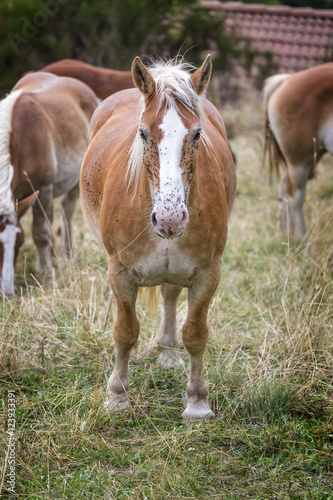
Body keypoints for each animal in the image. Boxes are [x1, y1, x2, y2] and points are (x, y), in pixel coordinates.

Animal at [0, 72, 98, 294]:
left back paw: (67, 257)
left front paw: (44, 271)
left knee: (66, 213)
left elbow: (41, 233)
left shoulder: (43, 189)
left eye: (20, 242)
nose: (6, 292)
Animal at [80, 54, 236, 420]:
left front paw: (197, 401)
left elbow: (196, 334)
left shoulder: (208, 274)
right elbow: (125, 332)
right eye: (143, 133)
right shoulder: (120, 273)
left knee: (169, 294)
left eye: (197, 134)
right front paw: (117, 397)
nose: (170, 219)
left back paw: (166, 351)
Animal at [262, 63, 332, 243]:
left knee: (284, 188)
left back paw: (286, 233)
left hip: (314, 154)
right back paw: (302, 239)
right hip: (300, 159)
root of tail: (287, 79)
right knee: (294, 194)